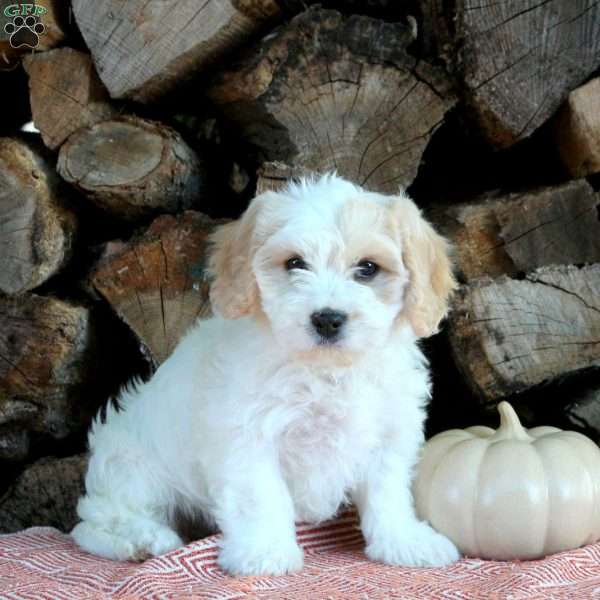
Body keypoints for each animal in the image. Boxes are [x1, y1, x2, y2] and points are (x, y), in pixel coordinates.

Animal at [72, 172, 462, 572]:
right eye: (295, 263)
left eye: (367, 268)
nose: (327, 319)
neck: (325, 370)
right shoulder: (248, 437)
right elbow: (262, 496)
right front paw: (265, 552)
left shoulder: (388, 434)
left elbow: (388, 494)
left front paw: (403, 542)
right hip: (133, 468)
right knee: (96, 520)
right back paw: (144, 540)